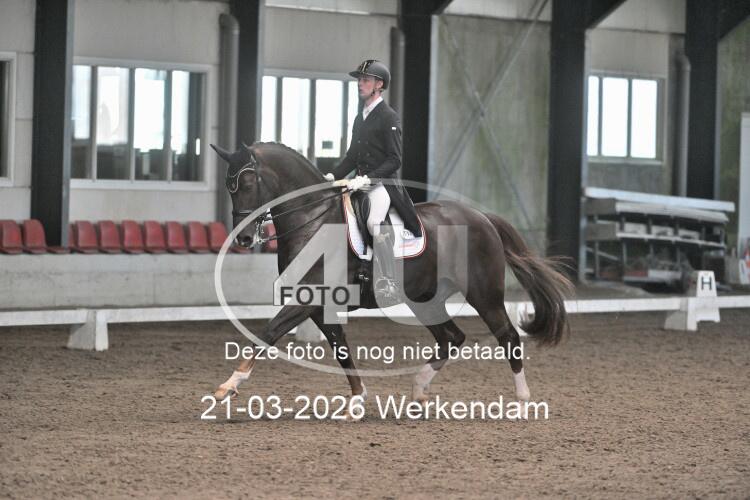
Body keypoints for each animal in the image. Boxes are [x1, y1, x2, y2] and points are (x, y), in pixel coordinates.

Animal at [210, 142, 572, 413]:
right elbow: (340, 348)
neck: (313, 220)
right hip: (424, 300)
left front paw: (228, 386)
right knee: (451, 337)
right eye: (229, 187)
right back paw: (419, 389)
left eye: (247, 184)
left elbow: (267, 333)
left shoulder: (308, 298)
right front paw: (357, 399)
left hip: (483, 295)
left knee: (507, 336)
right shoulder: (318, 305)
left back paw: (521, 401)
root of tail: (482, 217)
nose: (244, 239)